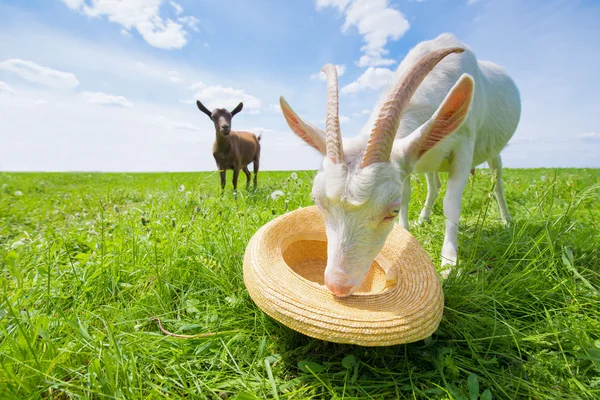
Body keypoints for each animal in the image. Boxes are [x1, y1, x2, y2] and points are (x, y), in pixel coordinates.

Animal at [282, 33, 520, 296]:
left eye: (391, 212)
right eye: (318, 202)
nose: (338, 285)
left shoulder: (464, 147)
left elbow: (451, 203)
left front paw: (449, 263)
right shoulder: (406, 164)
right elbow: (407, 194)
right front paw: (407, 232)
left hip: (492, 151)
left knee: (497, 182)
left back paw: (507, 219)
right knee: (434, 185)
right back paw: (423, 218)